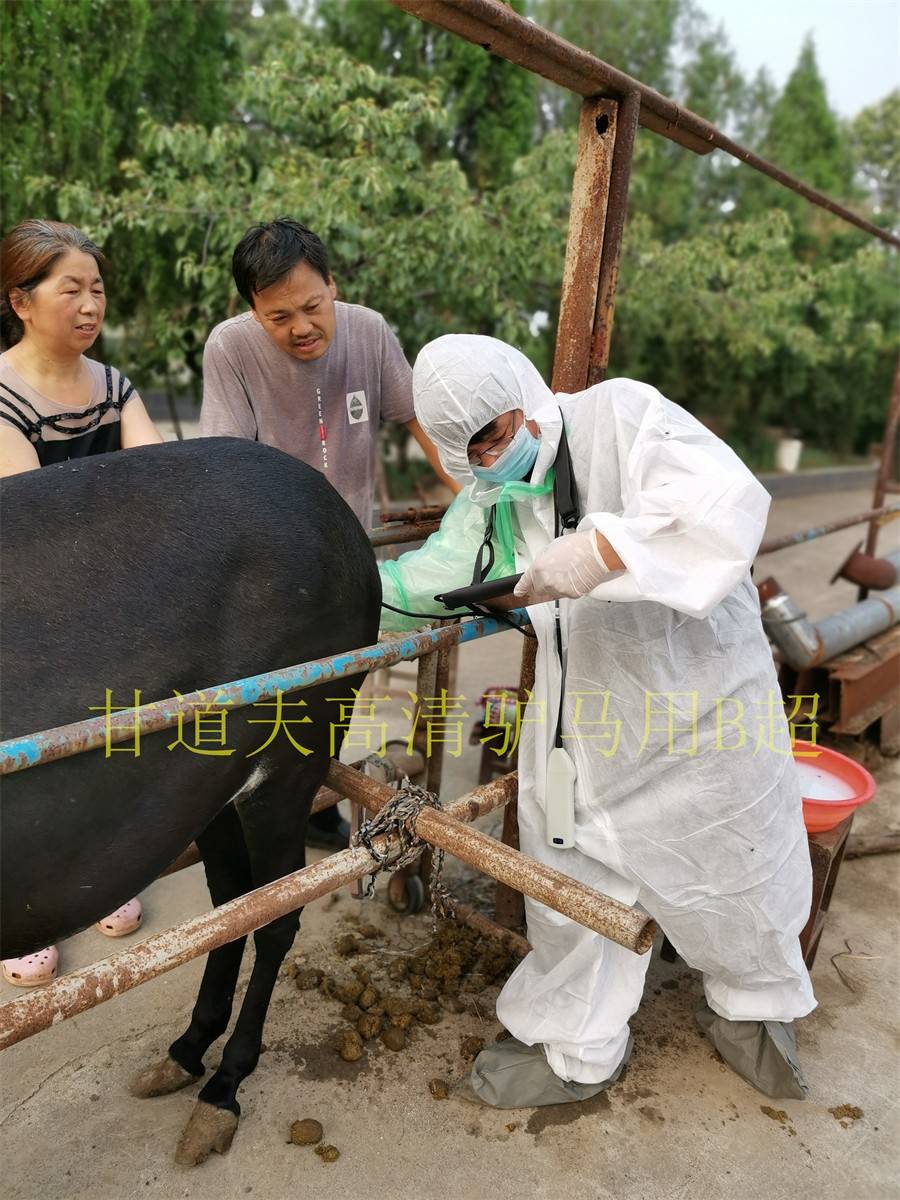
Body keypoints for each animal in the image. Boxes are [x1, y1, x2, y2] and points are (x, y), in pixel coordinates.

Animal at [0, 441, 381, 1161]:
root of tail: (336, 507)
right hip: (207, 786)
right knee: (230, 903)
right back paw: (185, 1052)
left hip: (294, 752)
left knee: (275, 913)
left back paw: (223, 1087)